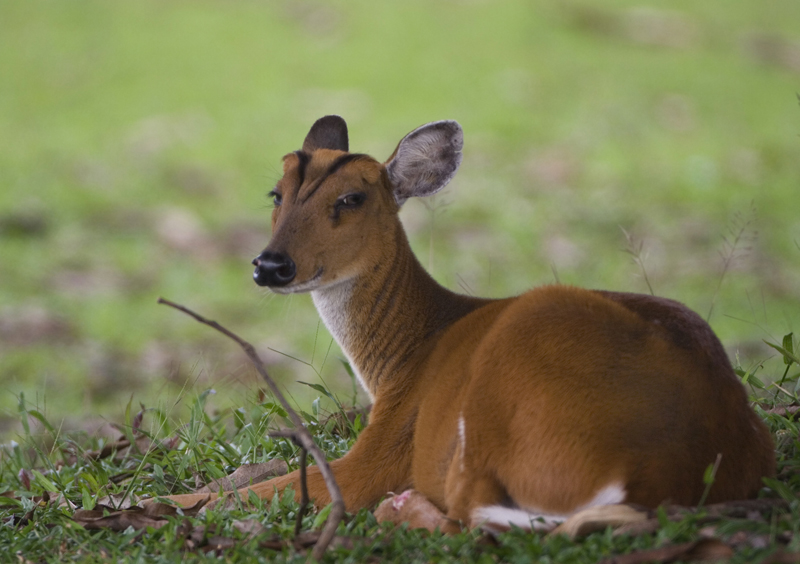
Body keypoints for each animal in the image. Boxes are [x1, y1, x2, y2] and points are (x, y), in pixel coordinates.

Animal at [164, 115, 776, 532]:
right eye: (276, 192)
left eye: (352, 197)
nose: (270, 265)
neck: (407, 354)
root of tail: (653, 472)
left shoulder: (385, 446)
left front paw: (152, 505)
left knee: (464, 510)